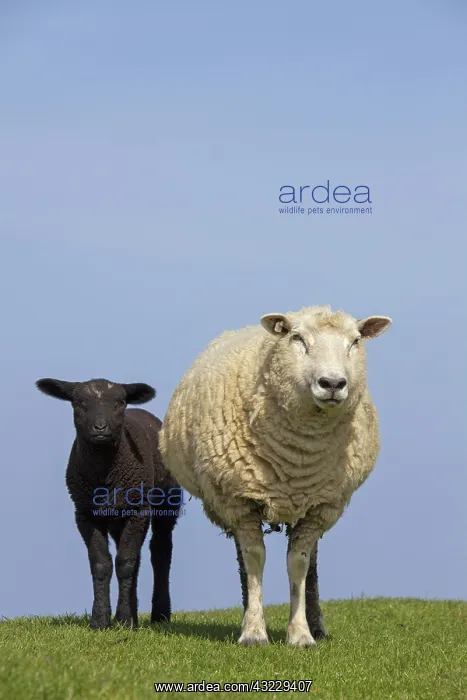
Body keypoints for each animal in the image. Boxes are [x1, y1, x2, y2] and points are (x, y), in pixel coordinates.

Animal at [36, 377, 181, 630]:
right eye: (79, 402)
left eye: (120, 402)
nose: (101, 428)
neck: (105, 475)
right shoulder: (85, 513)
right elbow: (101, 564)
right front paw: (101, 620)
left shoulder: (138, 510)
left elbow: (125, 562)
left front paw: (124, 621)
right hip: (117, 517)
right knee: (137, 557)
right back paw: (134, 613)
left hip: (166, 502)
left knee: (160, 552)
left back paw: (160, 614)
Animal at [159, 305, 391, 647]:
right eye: (297, 338)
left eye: (355, 341)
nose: (332, 383)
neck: (299, 457)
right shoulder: (239, 500)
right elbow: (255, 558)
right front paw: (254, 631)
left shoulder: (321, 506)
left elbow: (299, 563)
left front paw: (301, 634)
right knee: (243, 559)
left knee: (313, 564)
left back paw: (316, 624)